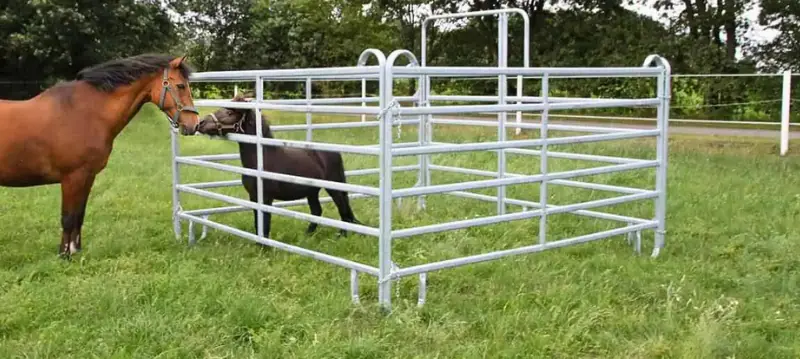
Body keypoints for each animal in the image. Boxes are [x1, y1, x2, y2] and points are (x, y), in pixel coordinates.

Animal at [0, 53, 200, 258]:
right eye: (181, 86)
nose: (194, 124)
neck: (85, 112)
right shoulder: (72, 178)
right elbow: (68, 217)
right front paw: (64, 255)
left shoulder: (87, 176)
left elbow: (79, 215)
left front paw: (76, 250)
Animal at [197, 95, 360, 239]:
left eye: (230, 113)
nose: (201, 123)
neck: (261, 160)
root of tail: (333, 152)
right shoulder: (254, 197)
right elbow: (258, 223)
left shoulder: (266, 198)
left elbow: (265, 223)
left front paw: (265, 246)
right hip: (311, 191)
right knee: (317, 211)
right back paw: (307, 236)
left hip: (334, 187)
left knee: (343, 209)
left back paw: (341, 236)